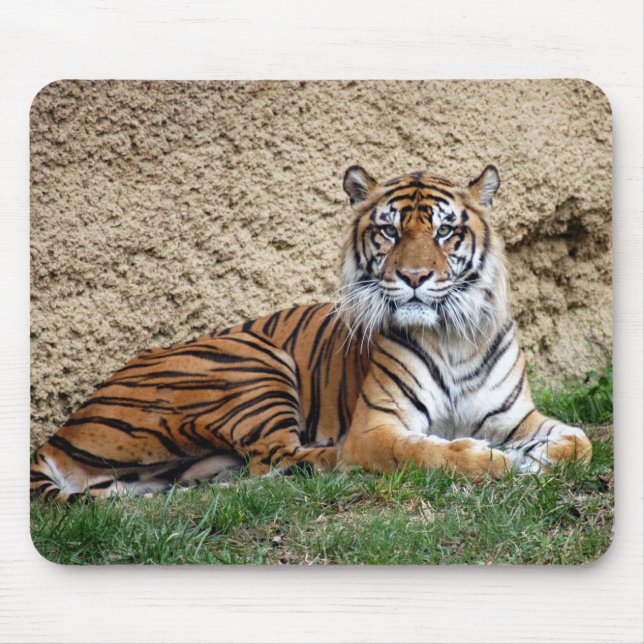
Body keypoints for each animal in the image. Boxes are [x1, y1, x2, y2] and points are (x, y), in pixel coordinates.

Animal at [30, 164, 593, 502]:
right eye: (389, 230)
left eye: (445, 231)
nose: (414, 277)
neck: (451, 335)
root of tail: (57, 436)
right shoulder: (376, 428)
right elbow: (425, 451)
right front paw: (492, 458)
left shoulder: (518, 416)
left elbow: (579, 442)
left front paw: (538, 455)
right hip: (251, 362)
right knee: (277, 460)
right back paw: (330, 460)